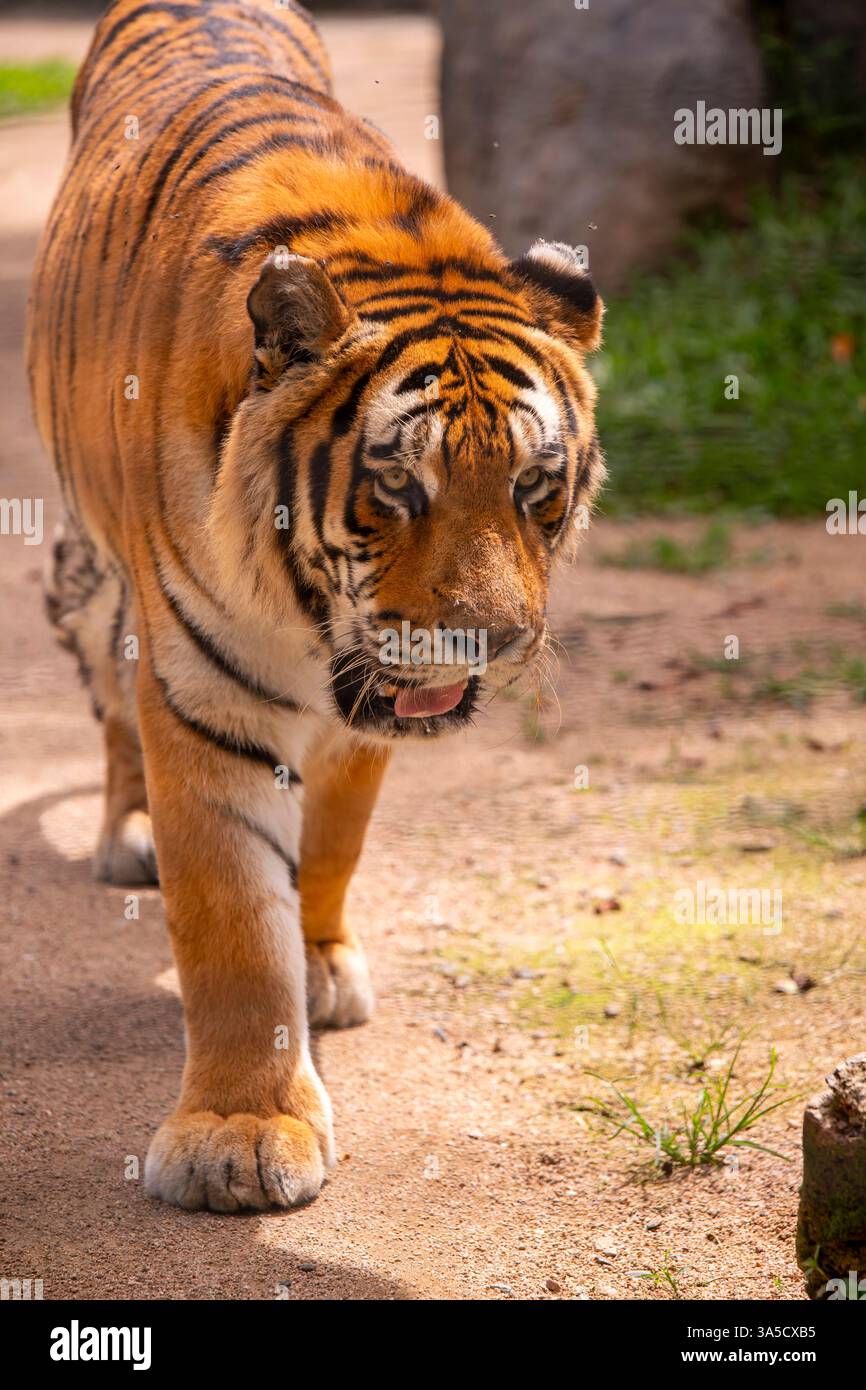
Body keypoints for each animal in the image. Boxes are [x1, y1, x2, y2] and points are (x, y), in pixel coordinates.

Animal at [26, 0, 605, 1212]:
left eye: (536, 486)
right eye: (398, 486)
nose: (492, 640)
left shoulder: (369, 707)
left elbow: (335, 839)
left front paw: (323, 956)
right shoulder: (202, 698)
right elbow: (232, 927)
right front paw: (239, 1134)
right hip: (92, 567)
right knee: (106, 691)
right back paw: (129, 831)